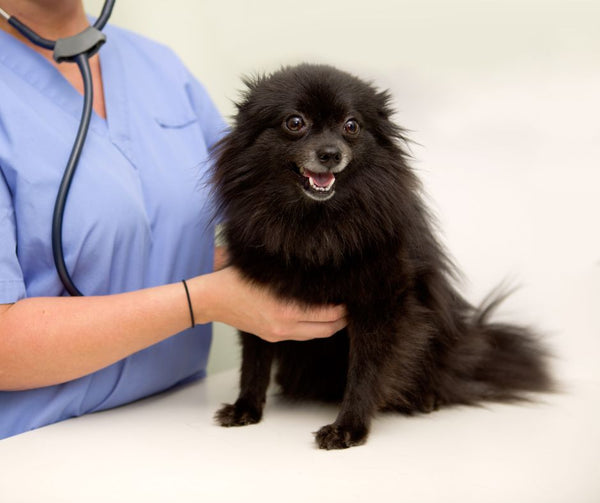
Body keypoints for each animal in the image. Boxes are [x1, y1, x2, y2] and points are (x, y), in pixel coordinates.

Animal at [212, 61, 552, 450]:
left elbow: (366, 371)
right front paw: (246, 406)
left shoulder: (379, 305)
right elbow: (253, 362)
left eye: (351, 126)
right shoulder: (258, 302)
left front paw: (349, 427)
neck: (315, 225)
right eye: (294, 122)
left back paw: (427, 398)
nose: (330, 153)